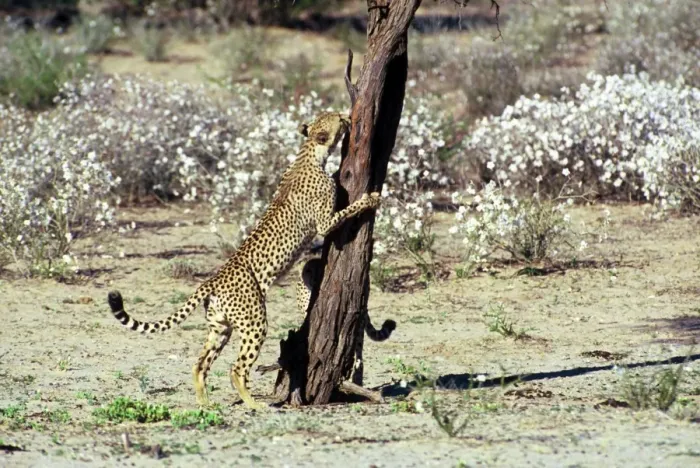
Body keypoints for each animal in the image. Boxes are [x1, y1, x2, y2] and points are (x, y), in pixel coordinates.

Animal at [107, 112, 381, 410]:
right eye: (336, 119)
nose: (346, 116)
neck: (308, 152)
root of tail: (212, 279)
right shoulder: (324, 223)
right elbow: (347, 211)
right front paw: (370, 199)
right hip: (254, 321)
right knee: (236, 368)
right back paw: (253, 403)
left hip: (220, 327)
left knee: (200, 364)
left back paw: (205, 403)